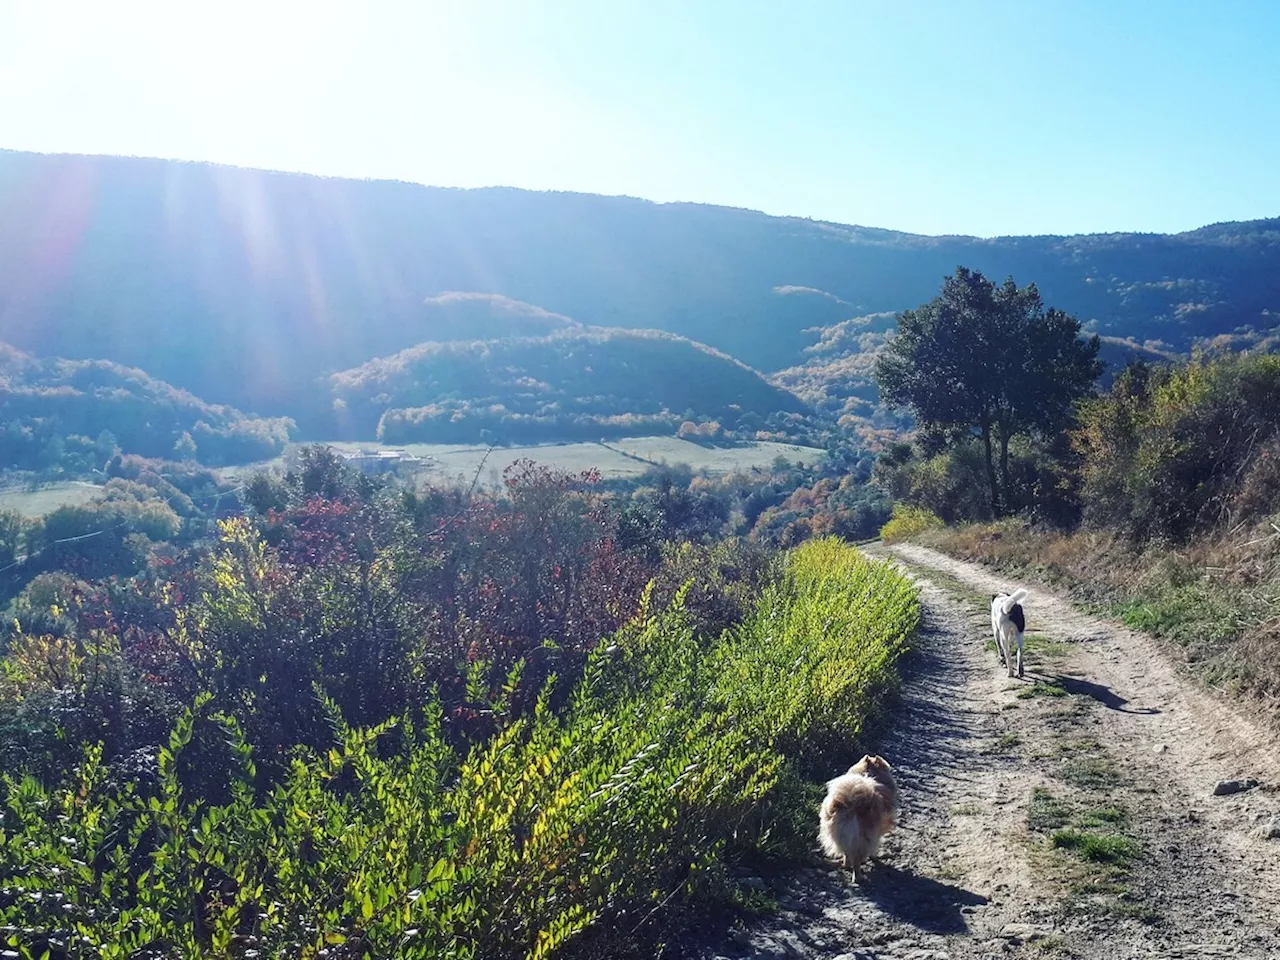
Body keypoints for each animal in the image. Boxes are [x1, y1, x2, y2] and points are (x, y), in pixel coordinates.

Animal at [819, 757, 901, 885]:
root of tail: (849, 806)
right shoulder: (876, 833)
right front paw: (874, 857)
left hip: (837, 835)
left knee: (847, 855)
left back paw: (846, 866)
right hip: (863, 839)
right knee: (857, 861)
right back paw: (857, 877)